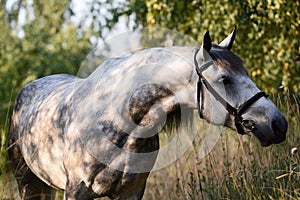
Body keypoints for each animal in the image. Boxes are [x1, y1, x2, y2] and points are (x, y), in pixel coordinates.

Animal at [8, 28, 286, 200]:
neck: (119, 118)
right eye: (225, 79)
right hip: (27, 181)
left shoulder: (131, 192)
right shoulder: (77, 191)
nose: (278, 124)